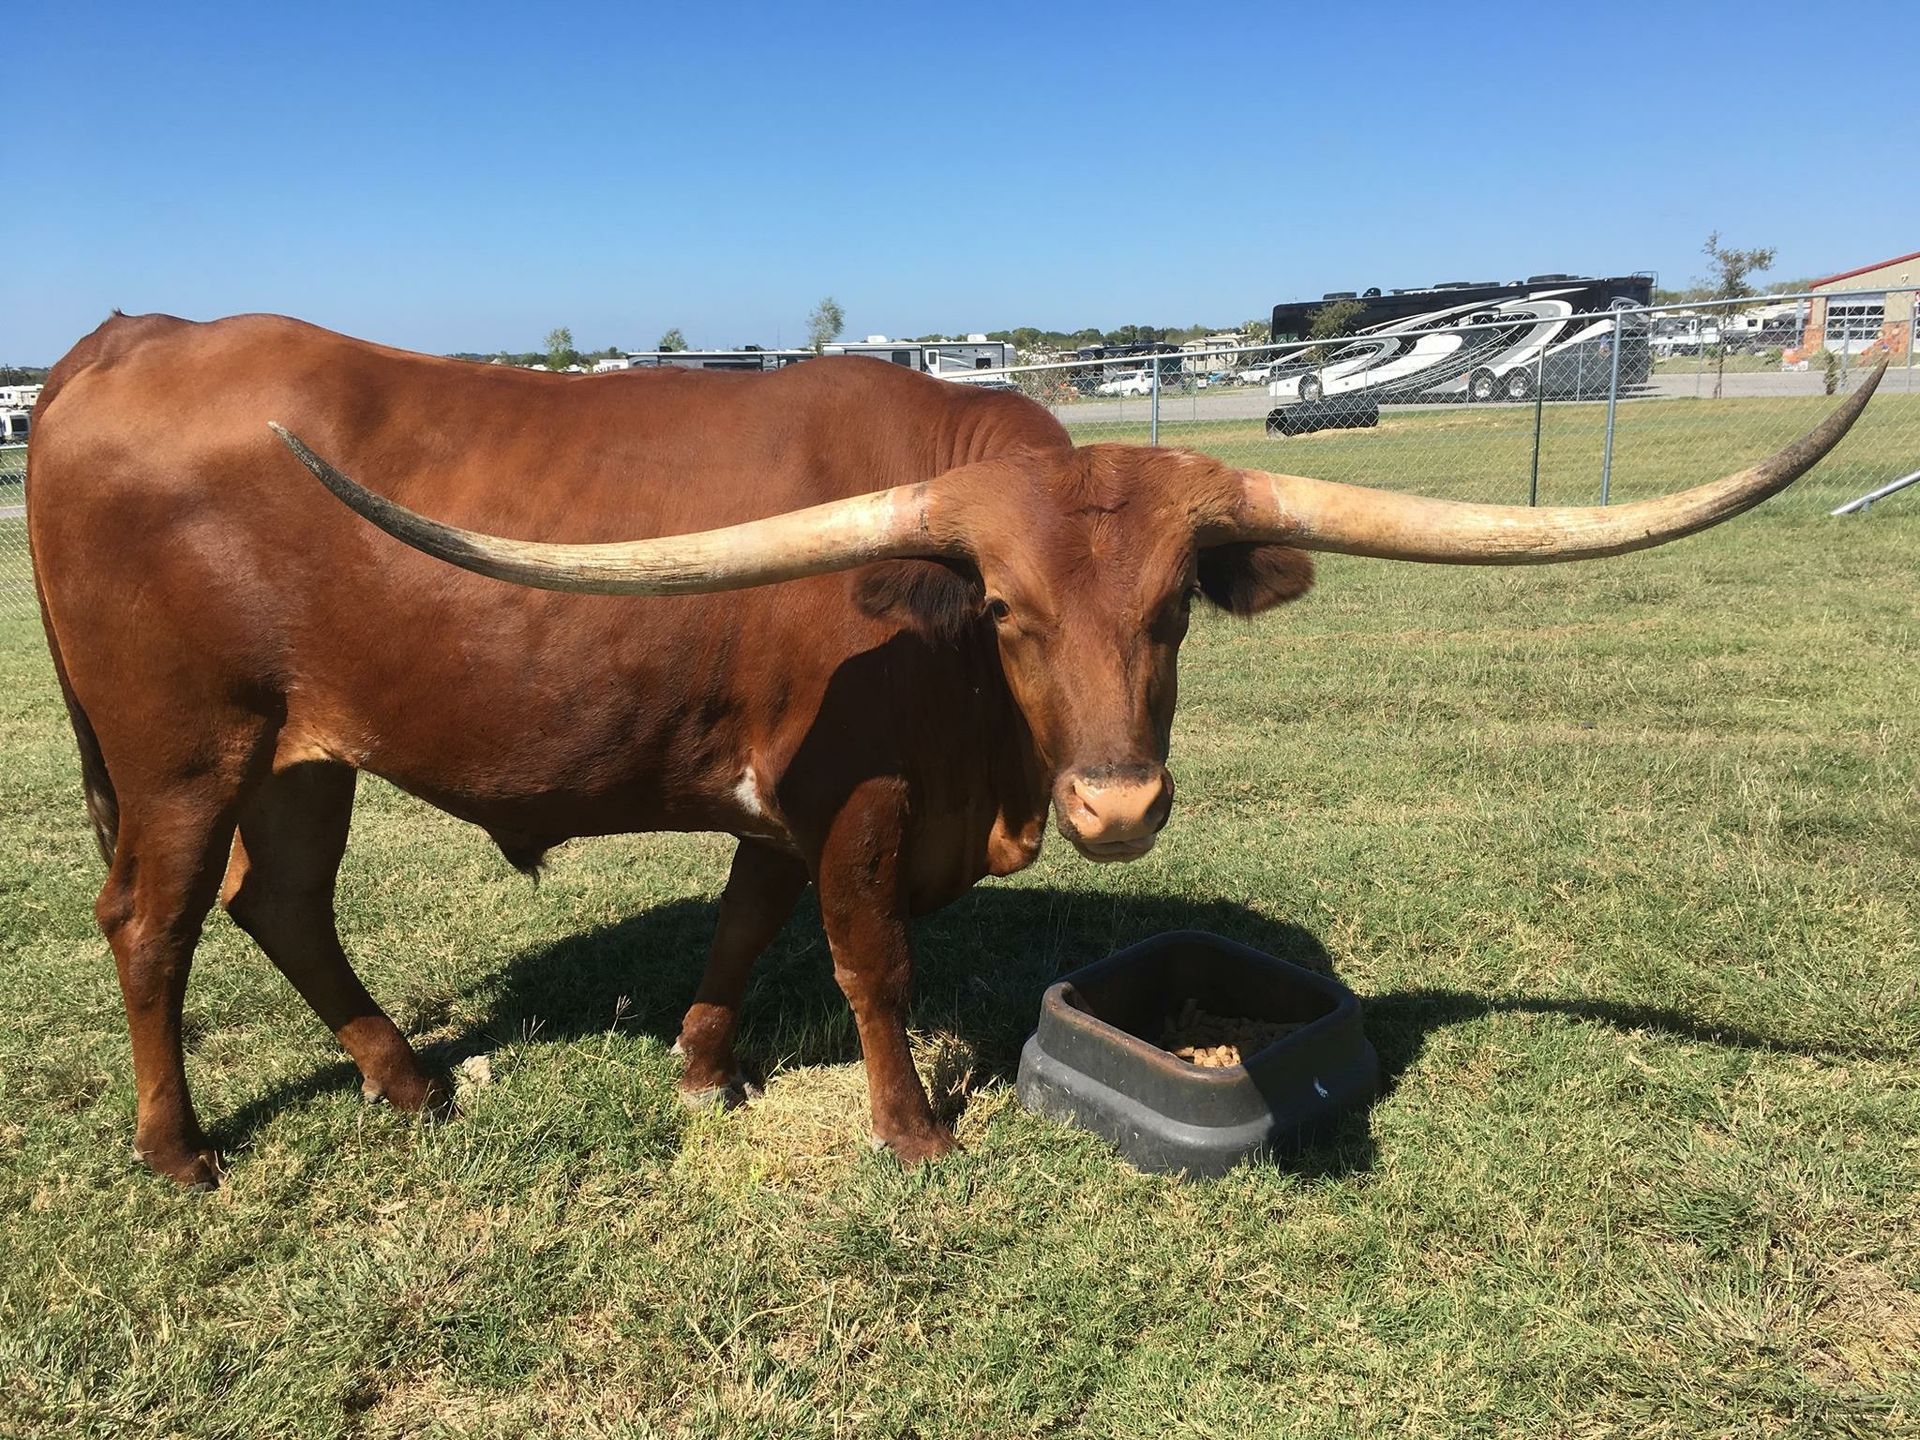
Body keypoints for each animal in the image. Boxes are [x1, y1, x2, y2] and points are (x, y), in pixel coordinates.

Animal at [27, 312, 1883, 1186]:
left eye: (1176, 610)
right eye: (1005, 611)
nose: (1120, 803)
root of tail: (129, 341)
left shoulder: (776, 802)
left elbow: (741, 929)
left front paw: (699, 1069)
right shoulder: (858, 801)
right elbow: (868, 961)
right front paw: (911, 1130)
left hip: (303, 755)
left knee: (282, 905)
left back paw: (409, 1078)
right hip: (185, 757)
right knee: (152, 927)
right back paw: (181, 1150)